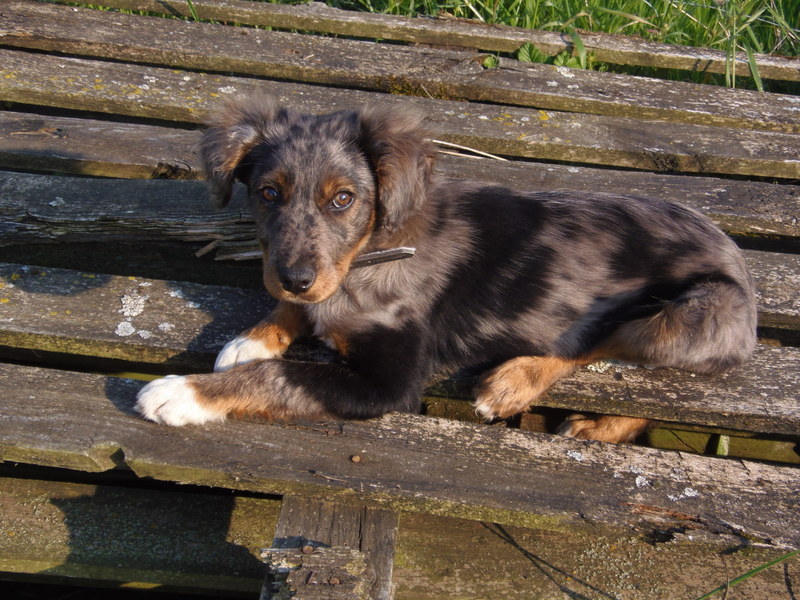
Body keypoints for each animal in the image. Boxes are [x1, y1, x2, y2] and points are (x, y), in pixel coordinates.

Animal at [136, 96, 756, 442]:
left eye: (343, 200)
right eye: (268, 193)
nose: (294, 278)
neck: (372, 254)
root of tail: (738, 260)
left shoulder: (390, 383)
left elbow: (279, 378)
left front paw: (184, 393)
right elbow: (294, 316)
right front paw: (255, 336)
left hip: (686, 316)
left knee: (598, 345)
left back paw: (516, 384)